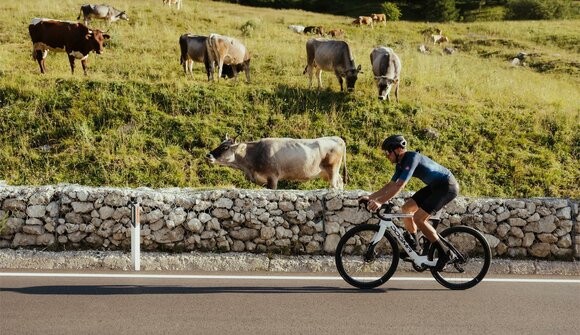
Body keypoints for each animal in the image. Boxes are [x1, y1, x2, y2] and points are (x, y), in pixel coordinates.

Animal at [206, 136, 346, 189]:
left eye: (225, 147)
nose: (208, 155)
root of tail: (337, 138)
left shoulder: (272, 177)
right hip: (327, 173)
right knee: (340, 182)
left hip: (333, 169)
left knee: (334, 185)